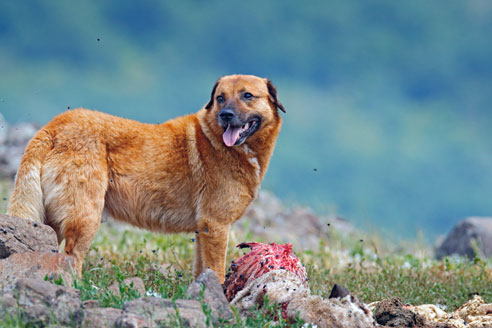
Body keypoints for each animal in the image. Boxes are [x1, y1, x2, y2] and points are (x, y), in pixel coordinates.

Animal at [6, 74, 284, 282]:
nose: (225, 114)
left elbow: (201, 270)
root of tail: (52, 128)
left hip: (51, 220)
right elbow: (216, 270)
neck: (219, 141)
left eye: (247, 95)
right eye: (220, 97)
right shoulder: (216, 226)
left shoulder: (203, 230)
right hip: (85, 216)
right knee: (71, 258)